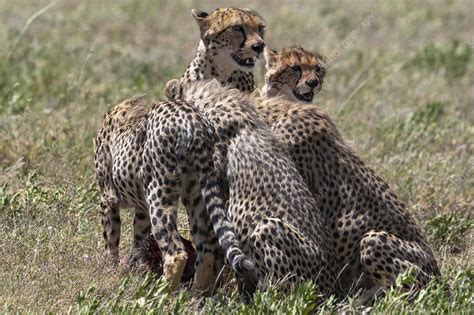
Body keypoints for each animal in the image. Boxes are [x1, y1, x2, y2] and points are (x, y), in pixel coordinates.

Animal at [93, 95, 258, 294]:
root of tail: (195, 121)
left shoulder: (108, 198)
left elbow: (111, 238)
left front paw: (111, 271)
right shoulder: (142, 209)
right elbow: (139, 239)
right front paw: (133, 267)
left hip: (159, 193)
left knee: (176, 252)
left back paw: (161, 293)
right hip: (197, 195)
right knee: (207, 249)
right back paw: (196, 296)